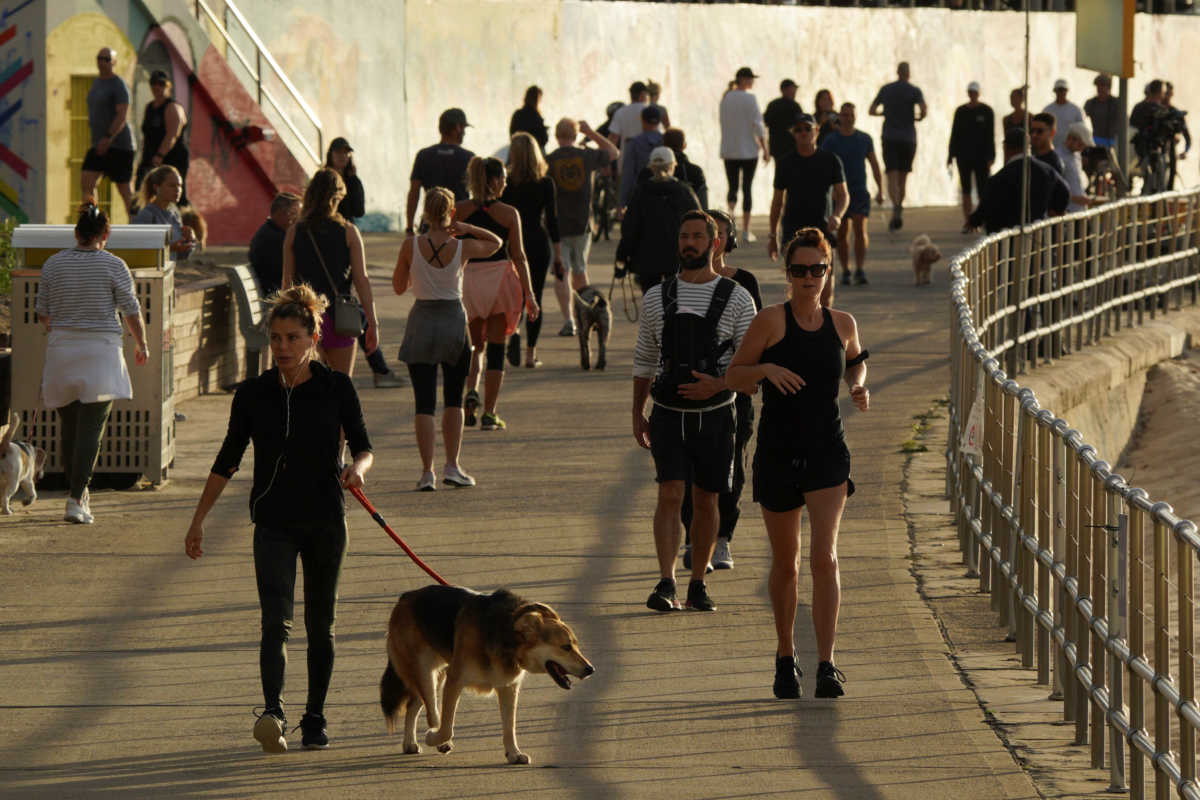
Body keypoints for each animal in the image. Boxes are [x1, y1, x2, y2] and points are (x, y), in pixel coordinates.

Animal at [381, 587, 592, 762]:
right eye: (565, 647)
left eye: (576, 645)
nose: (591, 670)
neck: (507, 635)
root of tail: (405, 597)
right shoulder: (455, 681)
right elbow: (447, 726)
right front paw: (436, 738)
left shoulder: (508, 687)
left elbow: (509, 727)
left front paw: (513, 753)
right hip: (426, 672)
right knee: (432, 712)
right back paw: (436, 740)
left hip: (433, 677)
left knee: (414, 705)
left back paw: (409, 743)